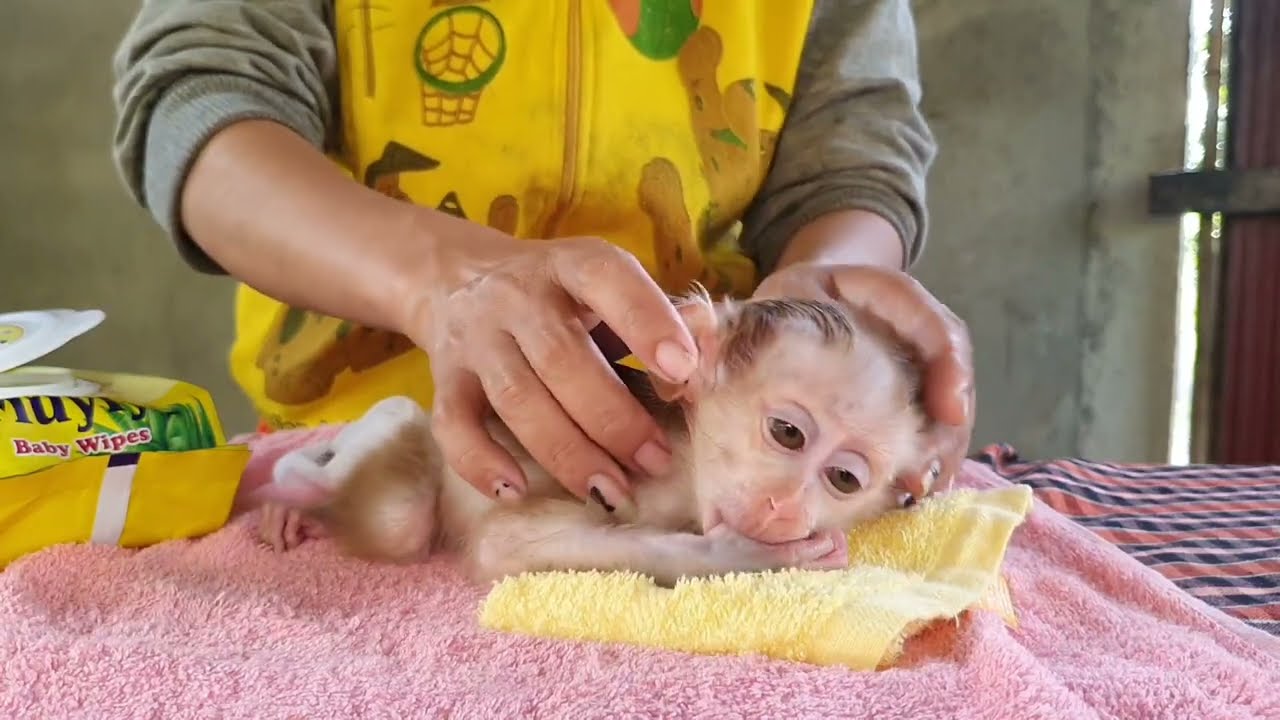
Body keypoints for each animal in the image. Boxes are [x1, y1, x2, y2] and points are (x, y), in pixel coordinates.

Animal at [248, 289, 937, 587]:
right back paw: (297, 482)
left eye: (844, 479)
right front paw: (745, 556)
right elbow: (503, 546)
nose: (785, 506)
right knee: (397, 502)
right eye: (788, 433)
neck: (684, 466)